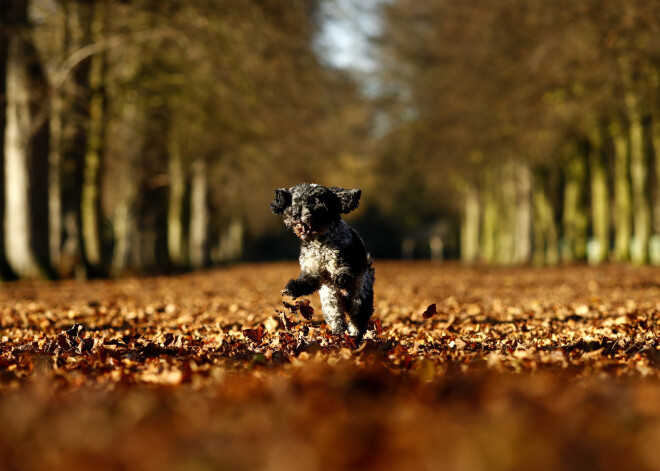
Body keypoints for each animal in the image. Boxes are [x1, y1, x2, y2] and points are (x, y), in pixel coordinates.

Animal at [268, 183, 374, 340]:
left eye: (313, 202)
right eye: (294, 201)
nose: (295, 215)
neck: (320, 242)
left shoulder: (345, 259)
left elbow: (344, 270)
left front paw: (340, 278)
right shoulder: (312, 270)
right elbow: (307, 281)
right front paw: (293, 288)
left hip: (359, 297)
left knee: (357, 319)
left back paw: (355, 335)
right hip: (331, 303)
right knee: (338, 320)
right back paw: (338, 334)